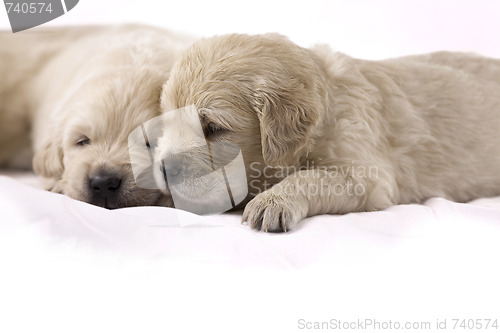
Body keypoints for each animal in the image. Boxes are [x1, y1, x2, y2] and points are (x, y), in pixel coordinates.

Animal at [151, 33, 500, 231]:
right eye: (167, 122)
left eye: (213, 129)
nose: (165, 169)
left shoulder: (369, 177)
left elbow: (309, 177)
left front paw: (272, 201)